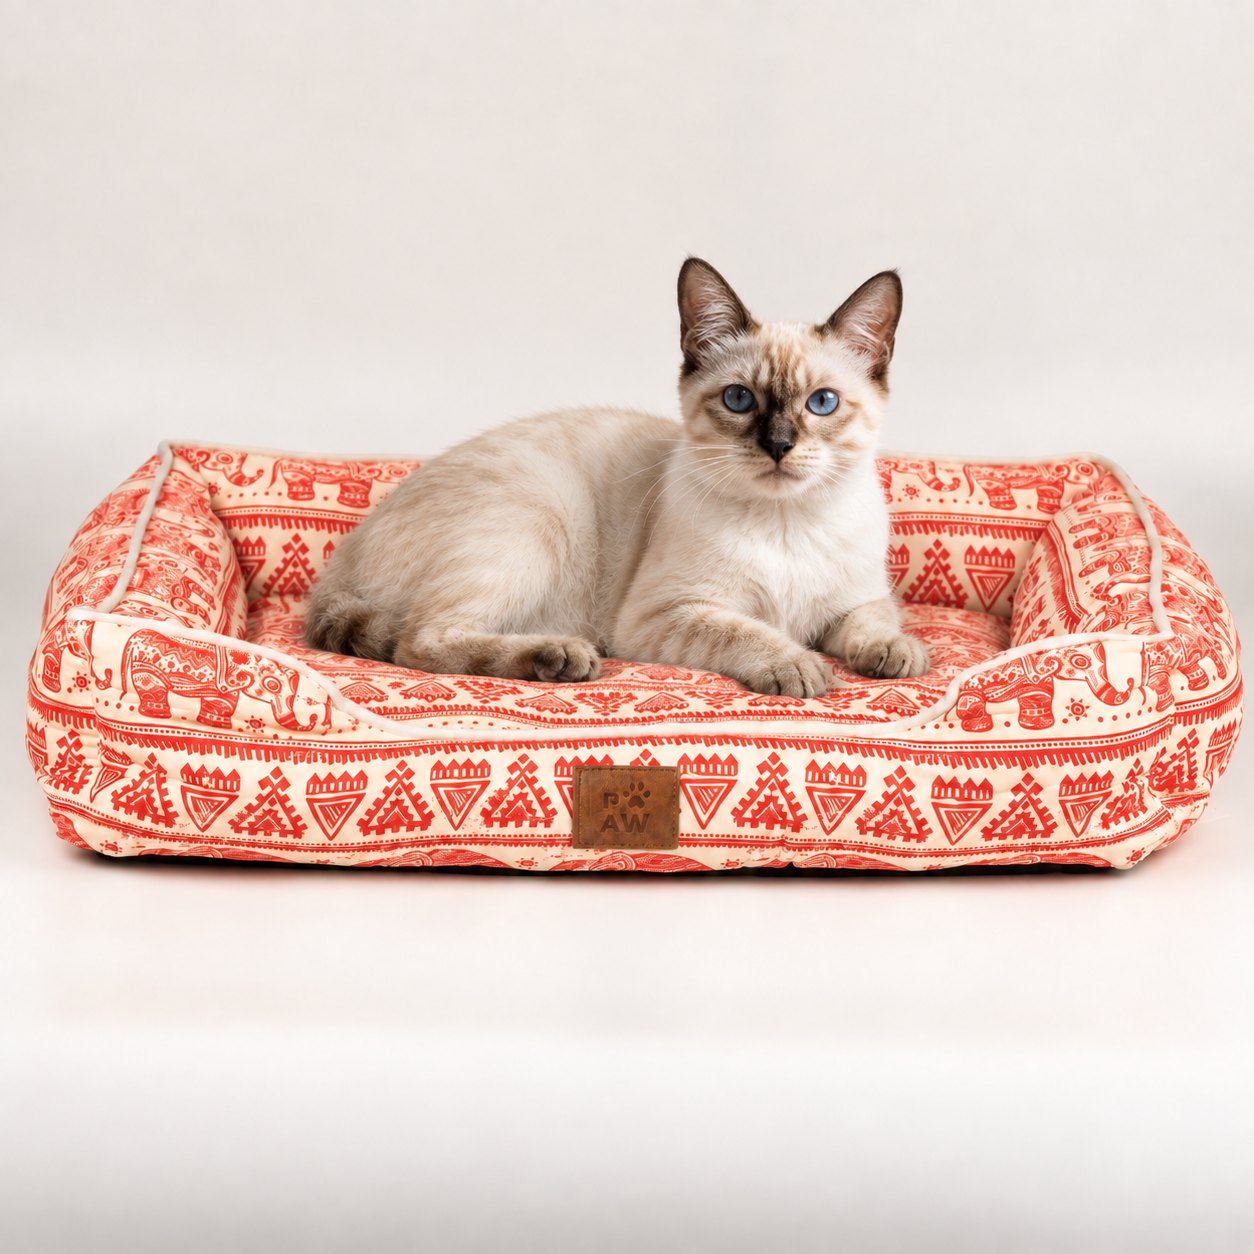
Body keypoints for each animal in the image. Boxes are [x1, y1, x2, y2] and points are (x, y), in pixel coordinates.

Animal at [119, 630, 314, 730]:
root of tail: (135, 636)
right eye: (272, 685)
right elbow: (221, 703)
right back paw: (157, 715)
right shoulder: (223, 682)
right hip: (146, 670)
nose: (312, 717)